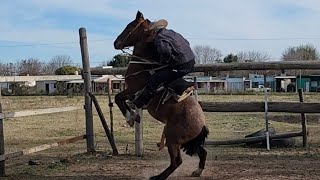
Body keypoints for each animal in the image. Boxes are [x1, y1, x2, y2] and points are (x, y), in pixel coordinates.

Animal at [114, 11, 209, 180]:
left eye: (129, 27)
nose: (115, 42)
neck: (144, 66)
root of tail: (202, 124)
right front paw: (133, 116)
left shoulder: (132, 90)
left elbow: (118, 98)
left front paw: (131, 118)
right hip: (187, 142)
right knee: (202, 152)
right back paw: (197, 171)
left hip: (172, 139)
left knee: (177, 161)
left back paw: (157, 177)